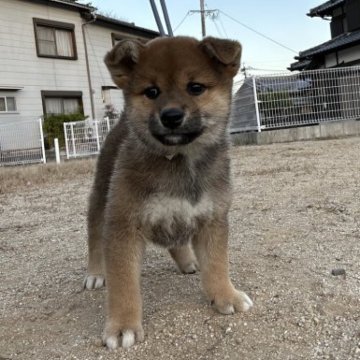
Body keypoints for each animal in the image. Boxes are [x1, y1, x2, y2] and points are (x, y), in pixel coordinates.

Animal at [84, 35, 253, 348]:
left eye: (195, 87)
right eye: (152, 92)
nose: (171, 115)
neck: (179, 159)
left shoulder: (213, 218)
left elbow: (217, 264)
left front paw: (226, 295)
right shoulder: (123, 225)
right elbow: (123, 283)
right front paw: (122, 325)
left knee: (177, 241)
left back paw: (188, 261)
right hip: (101, 197)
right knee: (94, 237)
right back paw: (95, 272)